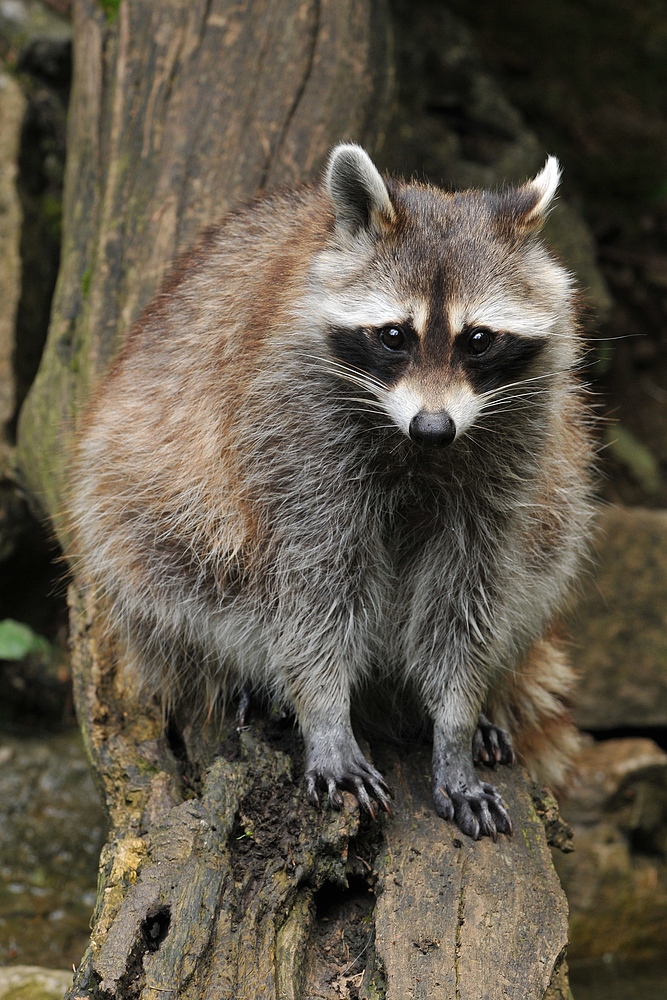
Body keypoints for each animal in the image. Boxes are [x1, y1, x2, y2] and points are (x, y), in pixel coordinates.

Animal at [68, 145, 592, 840]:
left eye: (477, 339)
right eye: (394, 335)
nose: (433, 428)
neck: (412, 445)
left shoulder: (512, 450)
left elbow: (468, 593)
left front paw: (455, 723)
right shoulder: (293, 431)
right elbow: (311, 588)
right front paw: (325, 714)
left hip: (558, 491)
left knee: (540, 558)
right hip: (138, 494)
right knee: (175, 562)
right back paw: (245, 674)